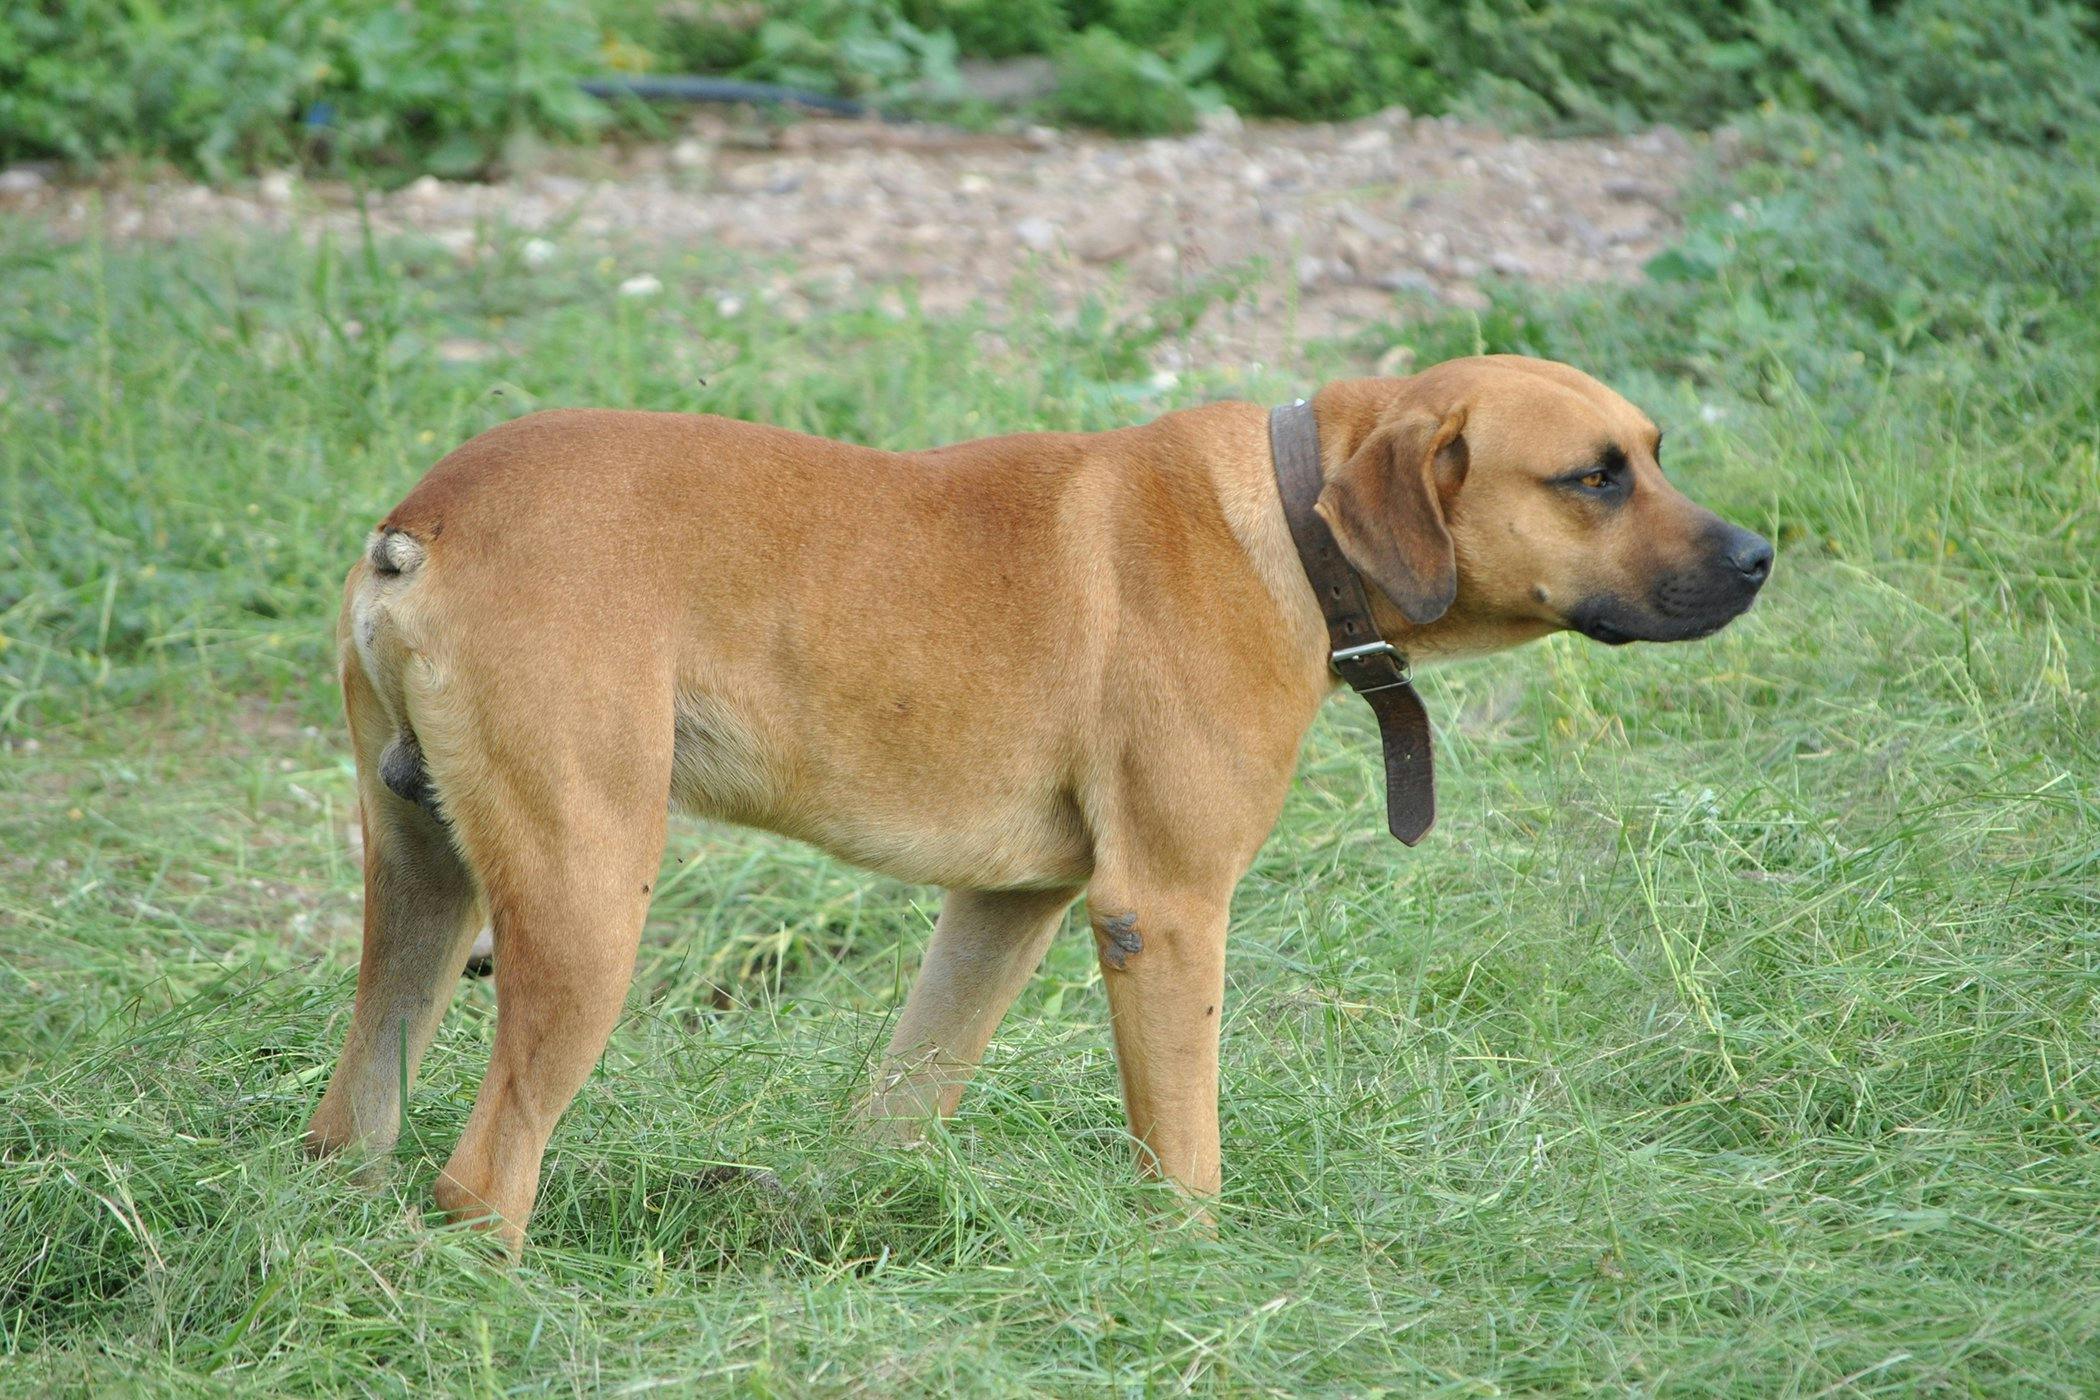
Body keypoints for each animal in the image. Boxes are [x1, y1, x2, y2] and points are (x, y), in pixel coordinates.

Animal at [300, 356, 1772, 1250]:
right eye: (1594, 477)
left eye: (1653, 451)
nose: (1763, 556)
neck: (1294, 525)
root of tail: (424, 522)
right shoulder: (1162, 915)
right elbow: (1187, 1151)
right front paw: (1192, 1270)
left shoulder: (1004, 909)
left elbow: (905, 1096)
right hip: (587, 902)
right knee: (482, 1176)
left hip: (424, 893)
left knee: (353, 1122)